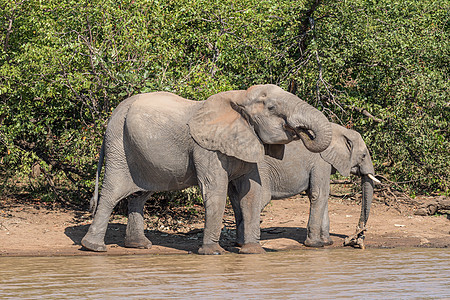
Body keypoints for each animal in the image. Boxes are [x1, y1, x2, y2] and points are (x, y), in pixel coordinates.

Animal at [81, 83, 332, 254]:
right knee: (112, 192)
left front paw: (253, 251)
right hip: (118, 146)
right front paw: (213, 253)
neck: (239, 97)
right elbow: (216, 190)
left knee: (140, 194)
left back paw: (139, 245)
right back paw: (93, 248)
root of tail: (114, 113)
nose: (302, 131)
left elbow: (251, 192)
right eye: (271, 107)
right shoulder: (206, 148)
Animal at [229, 123, 380, 250]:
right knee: (258, 199)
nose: (358, 236)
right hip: (259, 172)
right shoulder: (320, 162)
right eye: (363, 155)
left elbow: (320, 196)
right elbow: (319, 194)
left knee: (237, 202)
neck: (339, 130)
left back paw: (239, 243)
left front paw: (327, 243)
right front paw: (316, 245)